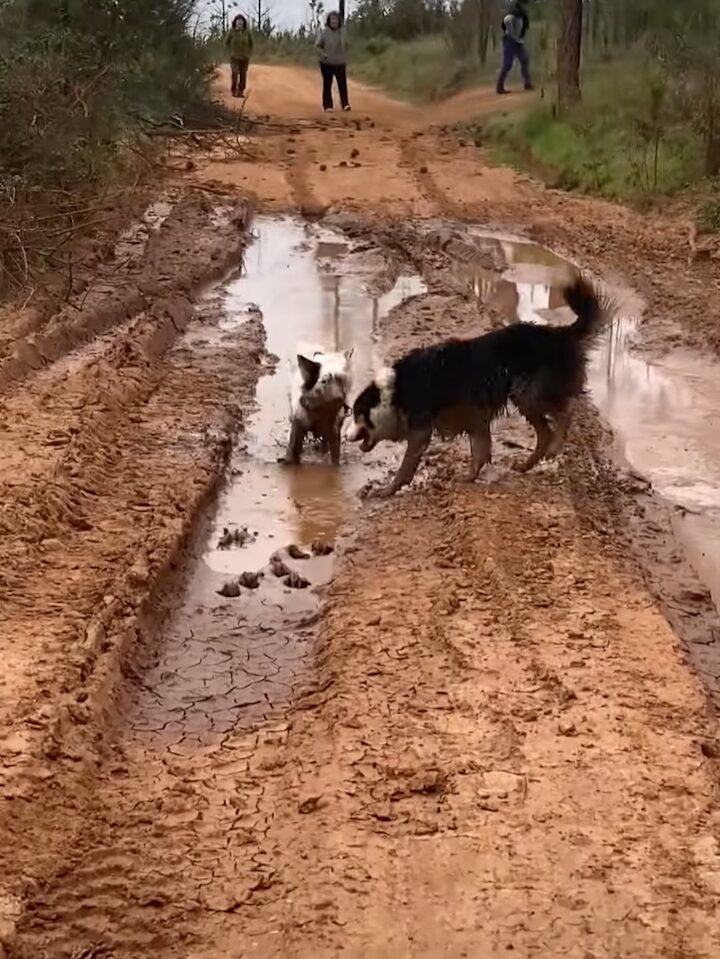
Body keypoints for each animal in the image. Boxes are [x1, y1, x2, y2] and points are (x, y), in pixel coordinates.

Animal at [348, 274, 608, 498]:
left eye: (357, 416)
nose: (347, 437)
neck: (395, 393)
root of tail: (559, 334)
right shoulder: (475, 417)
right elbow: (480, 450)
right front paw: (470, 477)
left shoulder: (421, 429)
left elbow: (406, 467)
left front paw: (386, 490)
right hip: (526, 396)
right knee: (545, 432)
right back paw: (526, 465)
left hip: (527, 394)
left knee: (564, 415)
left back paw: (555, 447)